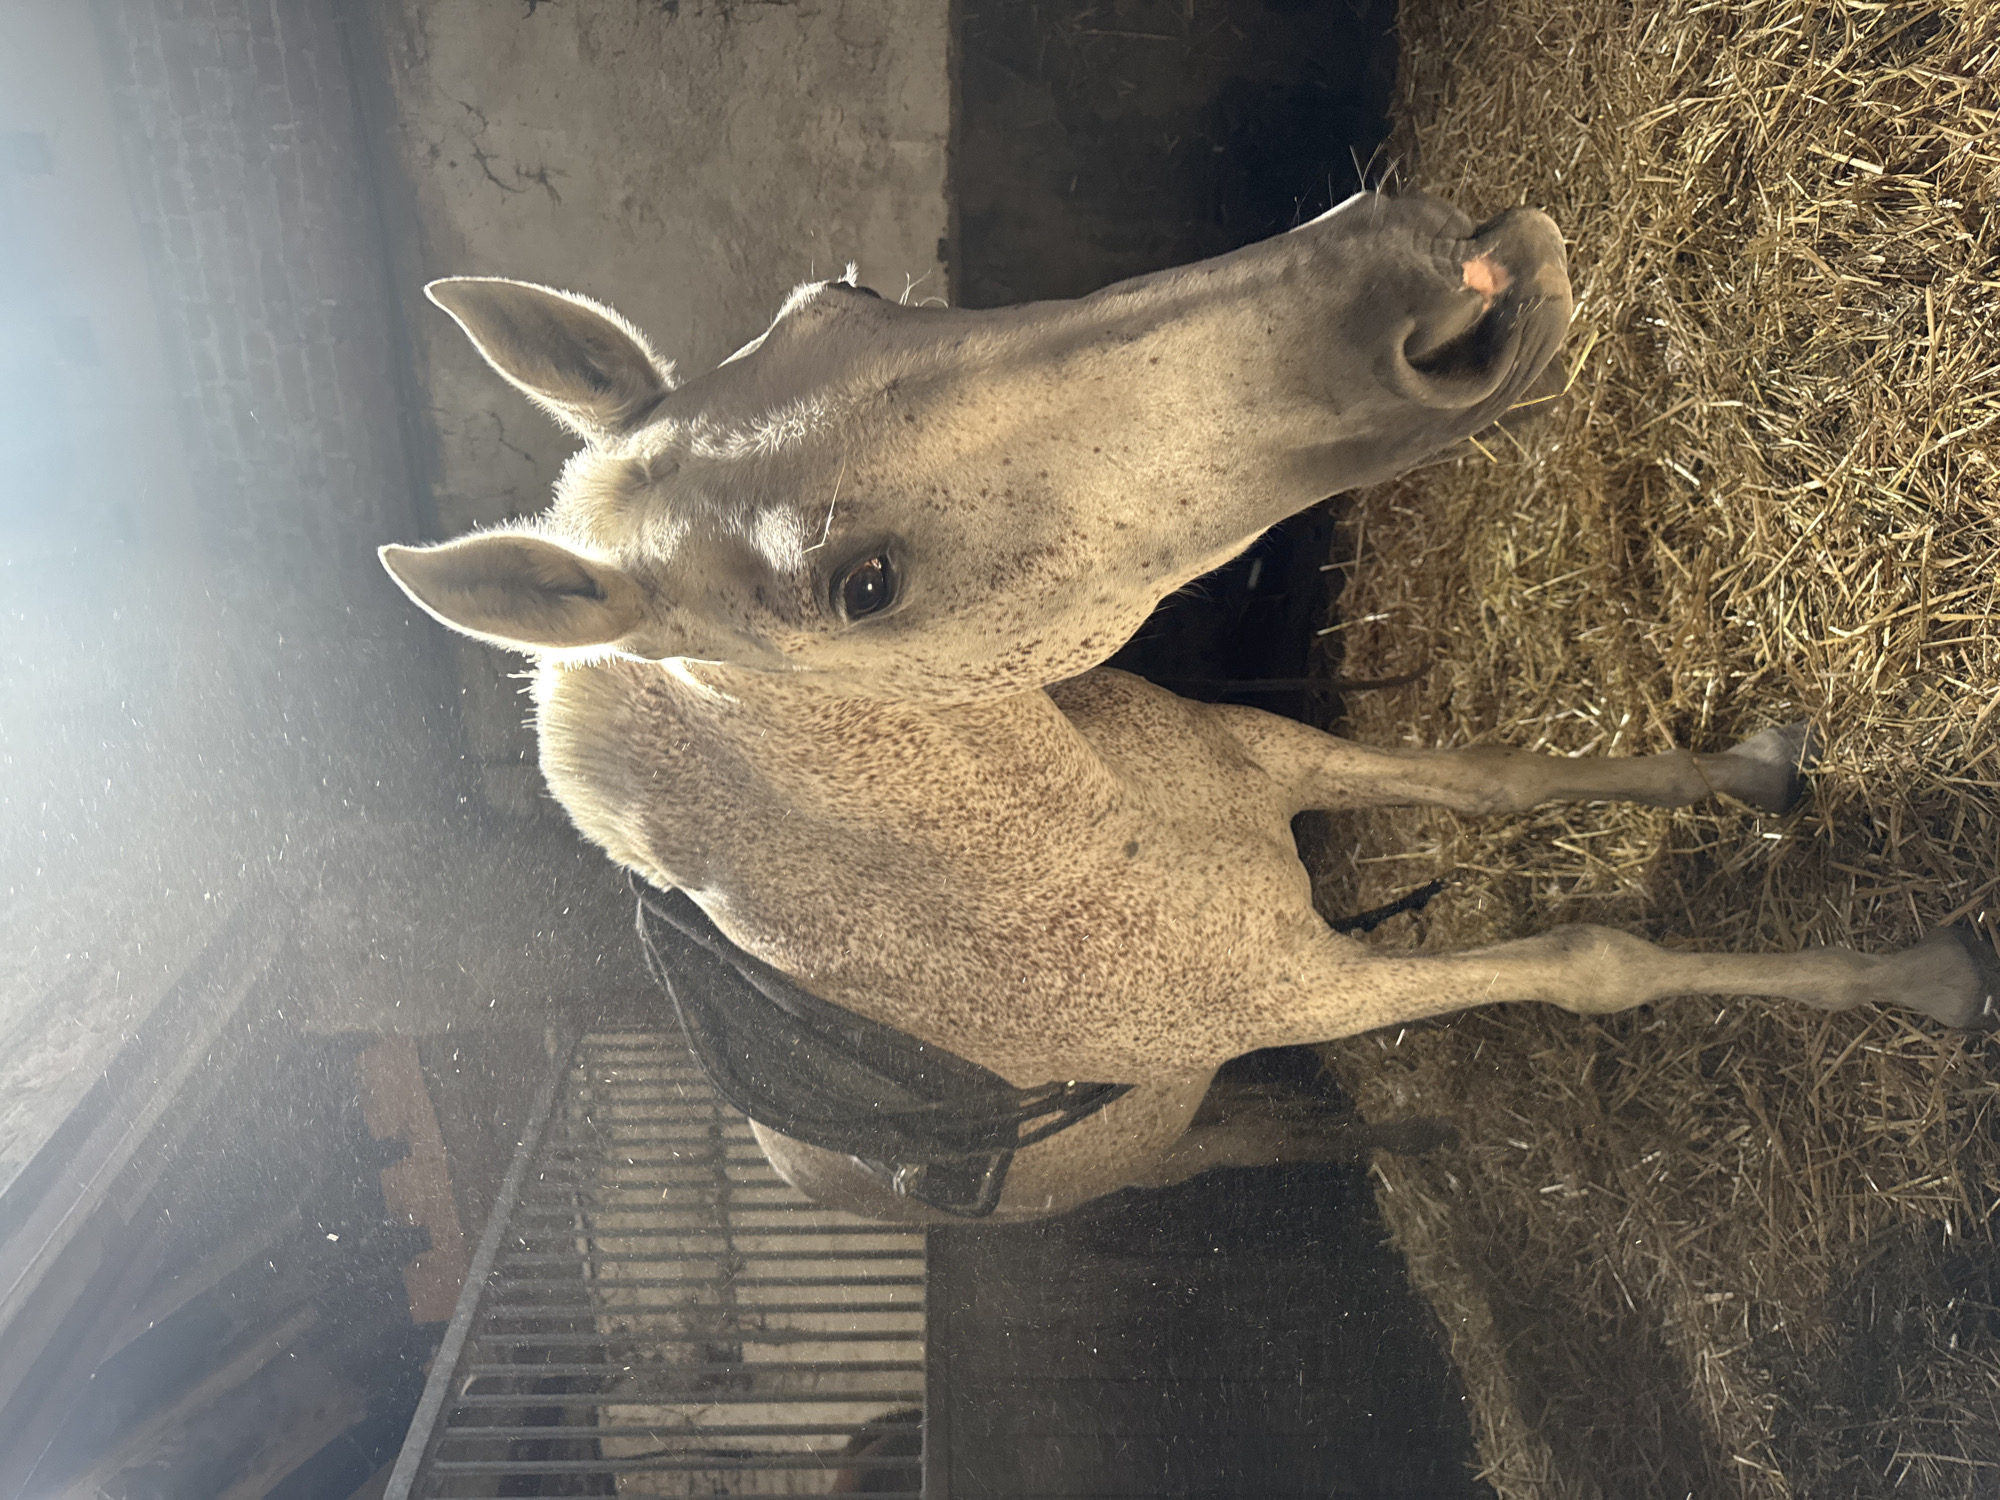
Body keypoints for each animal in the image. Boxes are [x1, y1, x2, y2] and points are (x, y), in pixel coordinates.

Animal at [380, 190, 1998, 1224]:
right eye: (863, 585)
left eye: (849, 296)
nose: (1429, 287)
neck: (1064, 860)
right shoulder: (1308, 988)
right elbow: (1592, 962)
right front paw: (1922, 977)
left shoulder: (1267, 753)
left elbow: (1483, 776)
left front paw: (1757, 769)